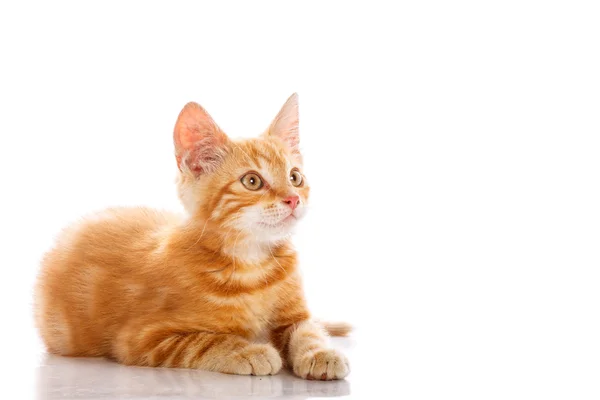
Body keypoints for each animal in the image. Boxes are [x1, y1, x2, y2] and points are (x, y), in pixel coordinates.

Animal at [32, 92, 350, 380]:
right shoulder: (141, 338)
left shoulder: (295, 314)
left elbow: (308, 329)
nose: (293, 199)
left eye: (295, 177)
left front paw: (322, 353)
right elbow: (205, 341)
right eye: (252, 181)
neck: (253, 263)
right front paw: (248, 350)